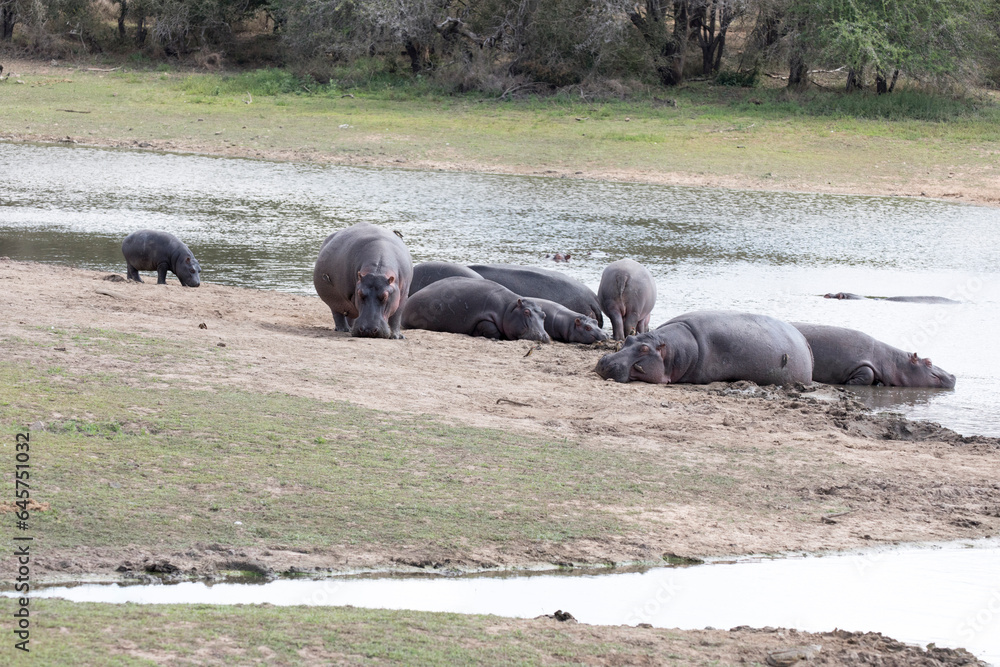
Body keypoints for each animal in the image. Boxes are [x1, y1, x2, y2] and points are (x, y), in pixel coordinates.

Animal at [402, 277, 550, 342]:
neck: (508, 309)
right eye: (526, 312)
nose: (544, 336)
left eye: (544, 315)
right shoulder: (484, 318)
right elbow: (491, 328)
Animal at [791, 323, 956, 388]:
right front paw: (849, 383)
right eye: (928, 362)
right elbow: (868, 373)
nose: (953, 375)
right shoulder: (861, 363)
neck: (894, 362)